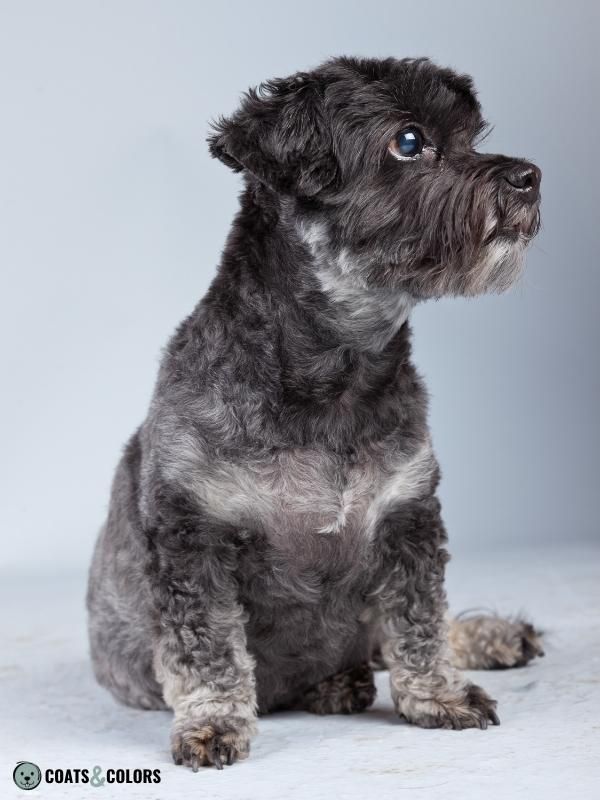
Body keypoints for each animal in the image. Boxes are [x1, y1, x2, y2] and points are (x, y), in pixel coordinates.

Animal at [88, 56, 544, 768]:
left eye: (473, 137)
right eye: (409, 141)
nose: (529, 176)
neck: (335, 381)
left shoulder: (407, 517)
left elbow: (420, 619)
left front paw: (437, 696)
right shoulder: (192, 534)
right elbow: (208, 647)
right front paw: (212, 723)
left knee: (394, 635)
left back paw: (487, 639)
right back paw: (340, 684)